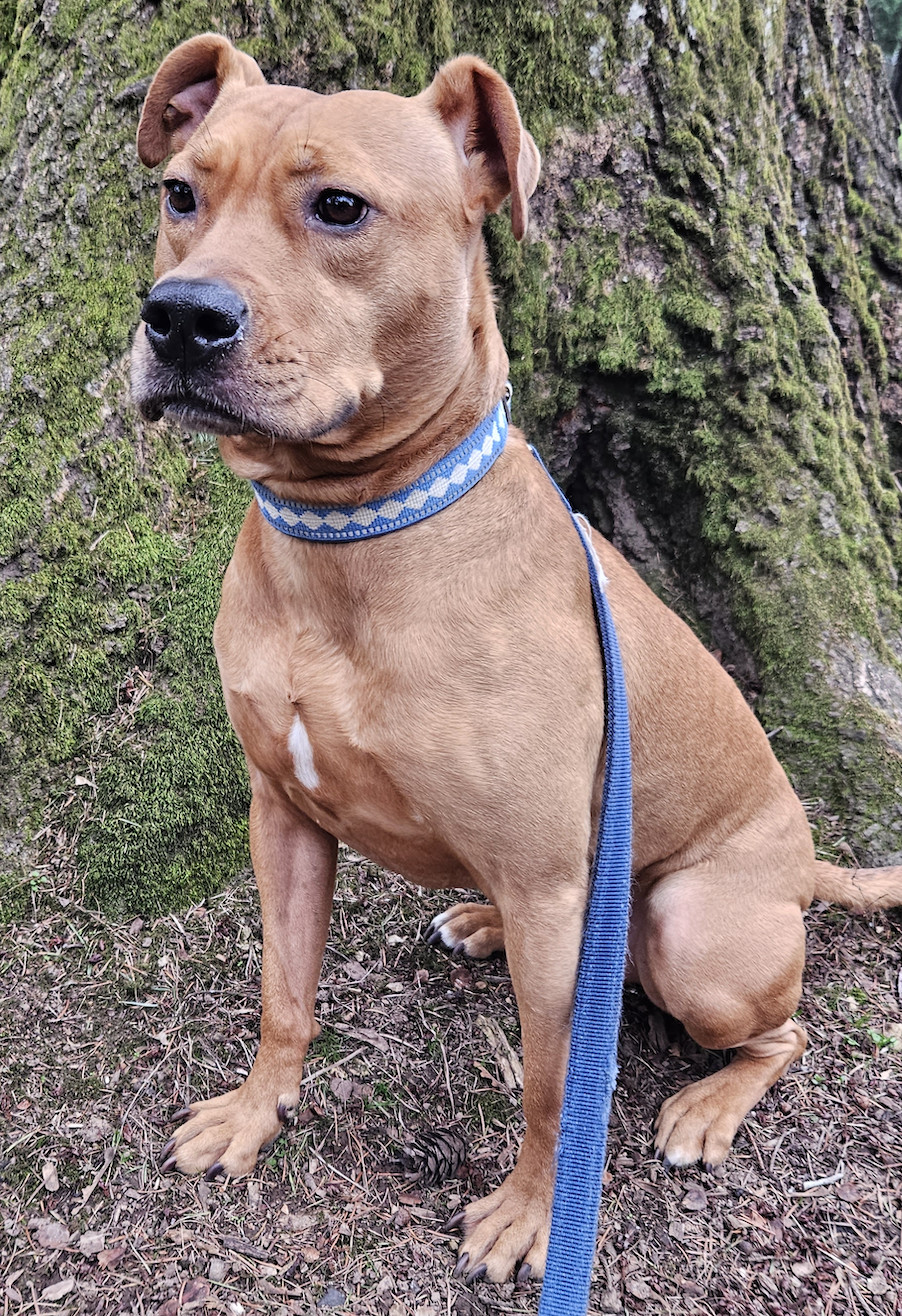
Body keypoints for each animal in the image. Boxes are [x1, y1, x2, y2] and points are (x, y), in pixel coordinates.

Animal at [131, 36, 900, 1279]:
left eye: (338, 207)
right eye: (179, 194)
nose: (179, 317)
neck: (351, 535)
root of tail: (804, 865)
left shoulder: (547, 884)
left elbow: (551, 1080)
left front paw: (533, 1215)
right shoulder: (281, 815)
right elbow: (283, 991)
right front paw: (253, 1112)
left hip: (692, 930)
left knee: (777, 1029)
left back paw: (707, 1102)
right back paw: (479, 921)